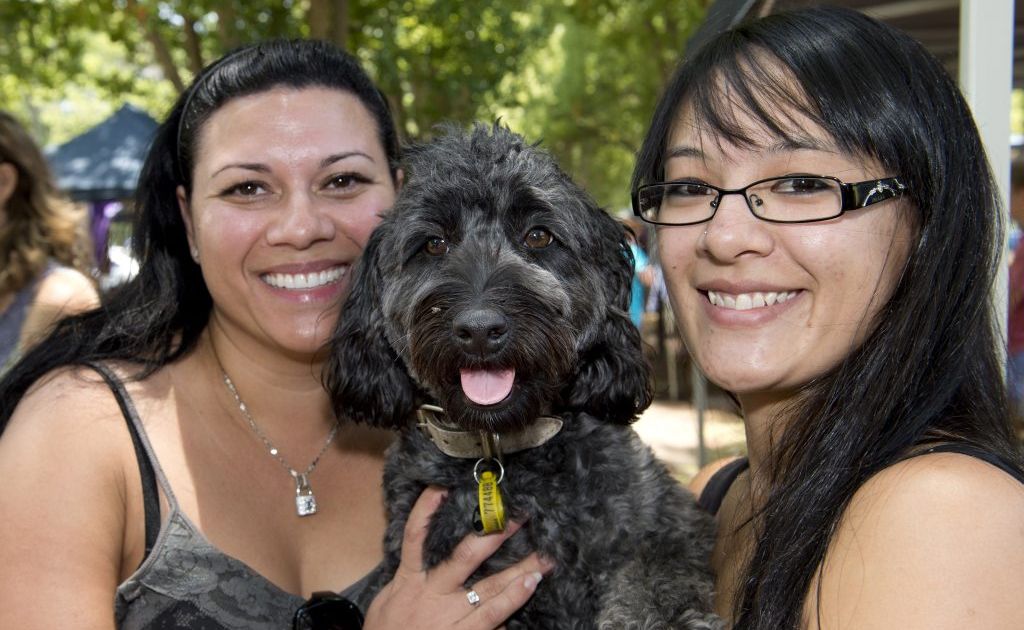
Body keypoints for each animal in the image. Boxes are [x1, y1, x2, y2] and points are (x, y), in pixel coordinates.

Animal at [327, 123, 720, 630]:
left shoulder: (666, 528)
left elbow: (652, 589)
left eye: (538, 236)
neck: (500, 457)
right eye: (433, 244)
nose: (479, 329)